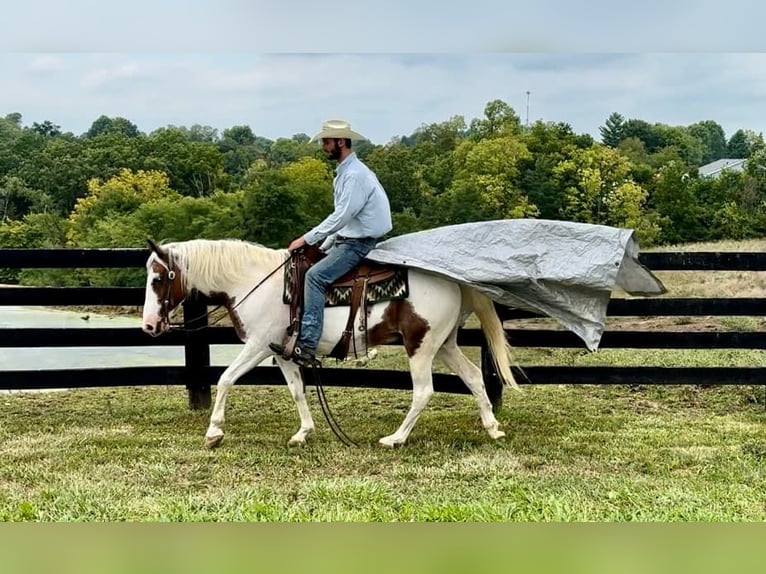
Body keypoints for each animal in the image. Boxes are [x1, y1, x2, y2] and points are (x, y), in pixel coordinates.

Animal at [141, 238, 520, 448]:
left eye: (158, 279)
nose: (148, 325)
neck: (252, 281)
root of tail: (453, 280)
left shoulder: (258, 345)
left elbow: (225, 379)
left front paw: (214, 432)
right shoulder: (283, 352)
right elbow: (297, 390)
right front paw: (303, 432)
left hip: (421, 346)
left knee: (424, 391)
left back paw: (395, 438)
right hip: (444, 344)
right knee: (473, 377)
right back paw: (493, 429)